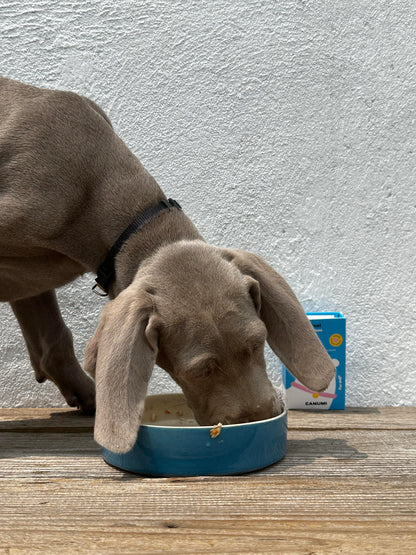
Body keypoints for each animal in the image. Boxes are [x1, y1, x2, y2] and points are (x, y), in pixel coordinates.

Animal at [0, 76, 332, 454]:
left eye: (259, 341)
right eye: (200, 370)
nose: (259, 419)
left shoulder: (29, 282)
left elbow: (52, 341)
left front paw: (97, 400)